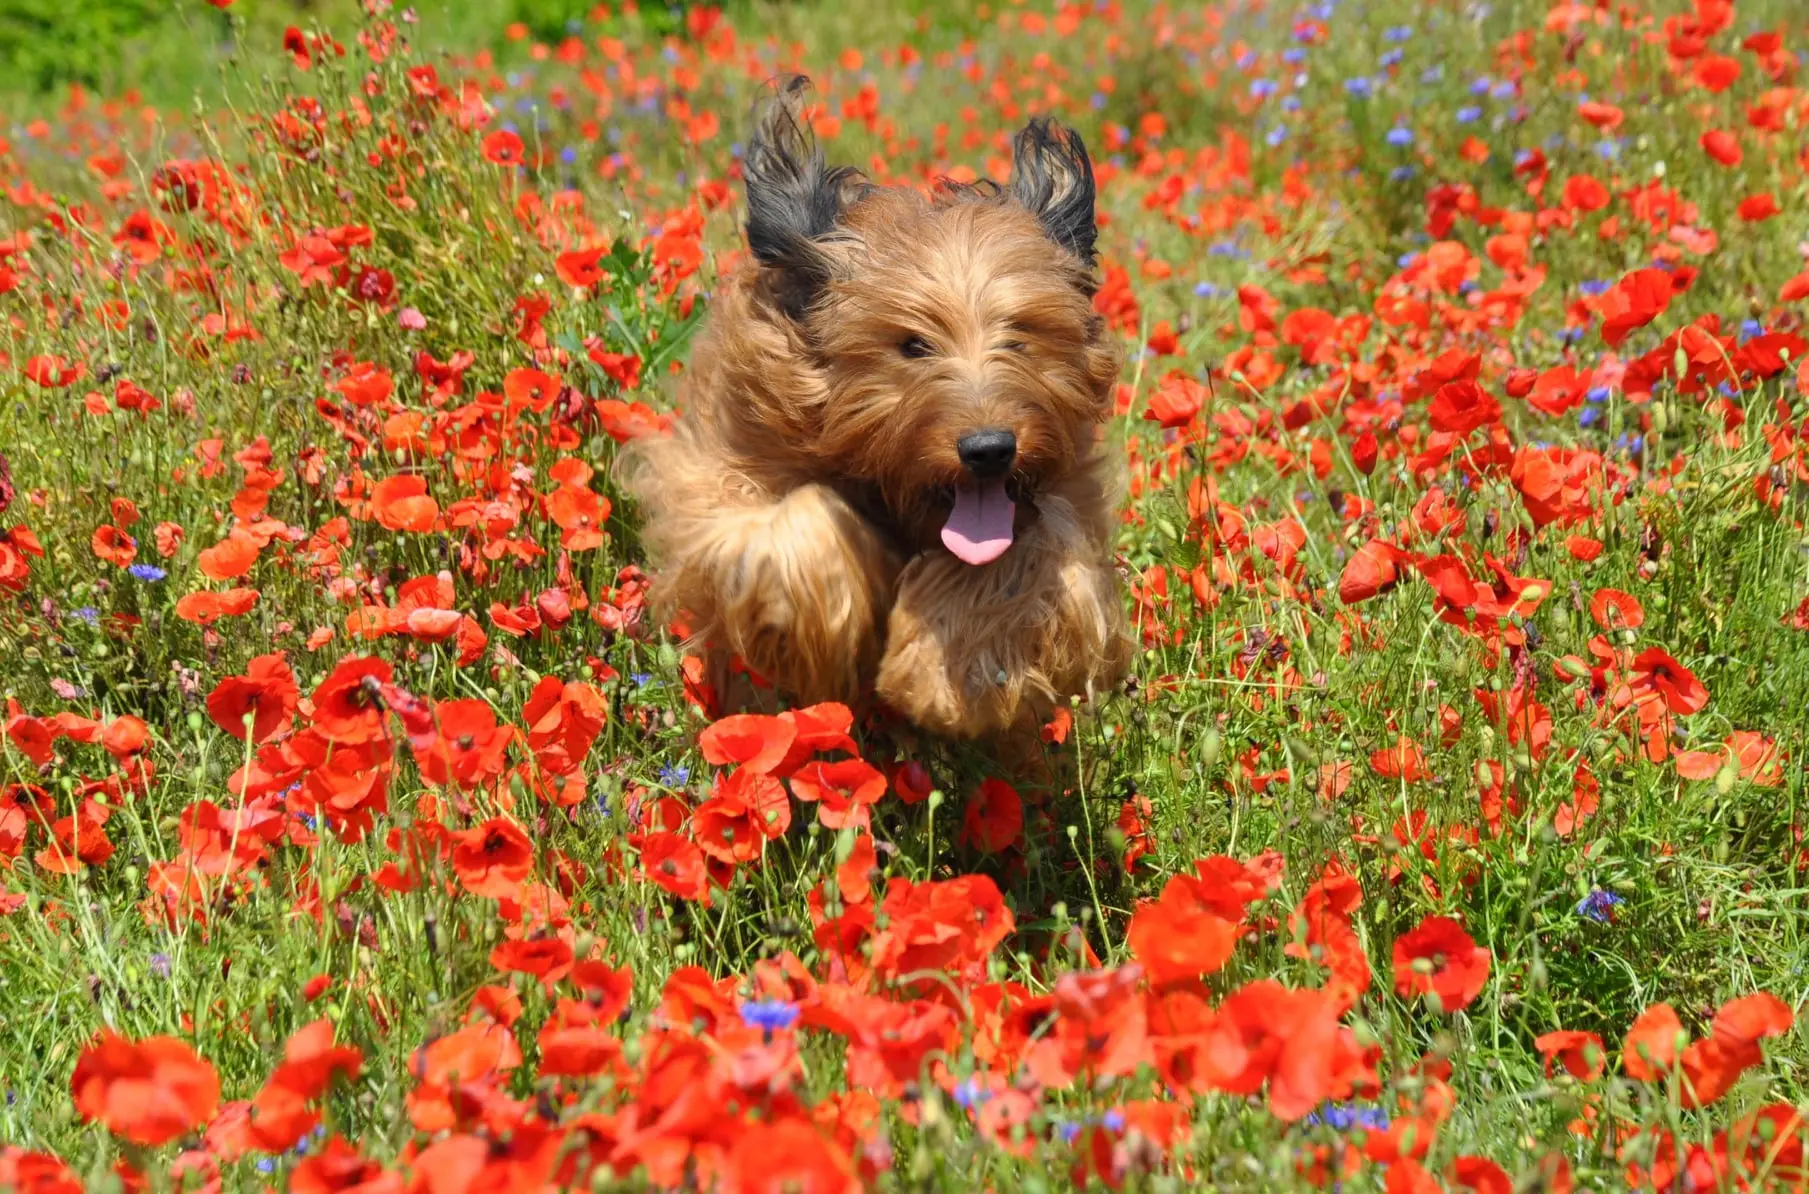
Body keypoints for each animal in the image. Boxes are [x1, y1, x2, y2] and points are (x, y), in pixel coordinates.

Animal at [629, 76, 1121, 738]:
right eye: (911, 345)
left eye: (1019, 337)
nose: (989, 450)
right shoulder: (724, 481)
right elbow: (793, 523)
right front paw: (821, 640)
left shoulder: (1064, 503)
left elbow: (1031, 551)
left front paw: (937, 676)